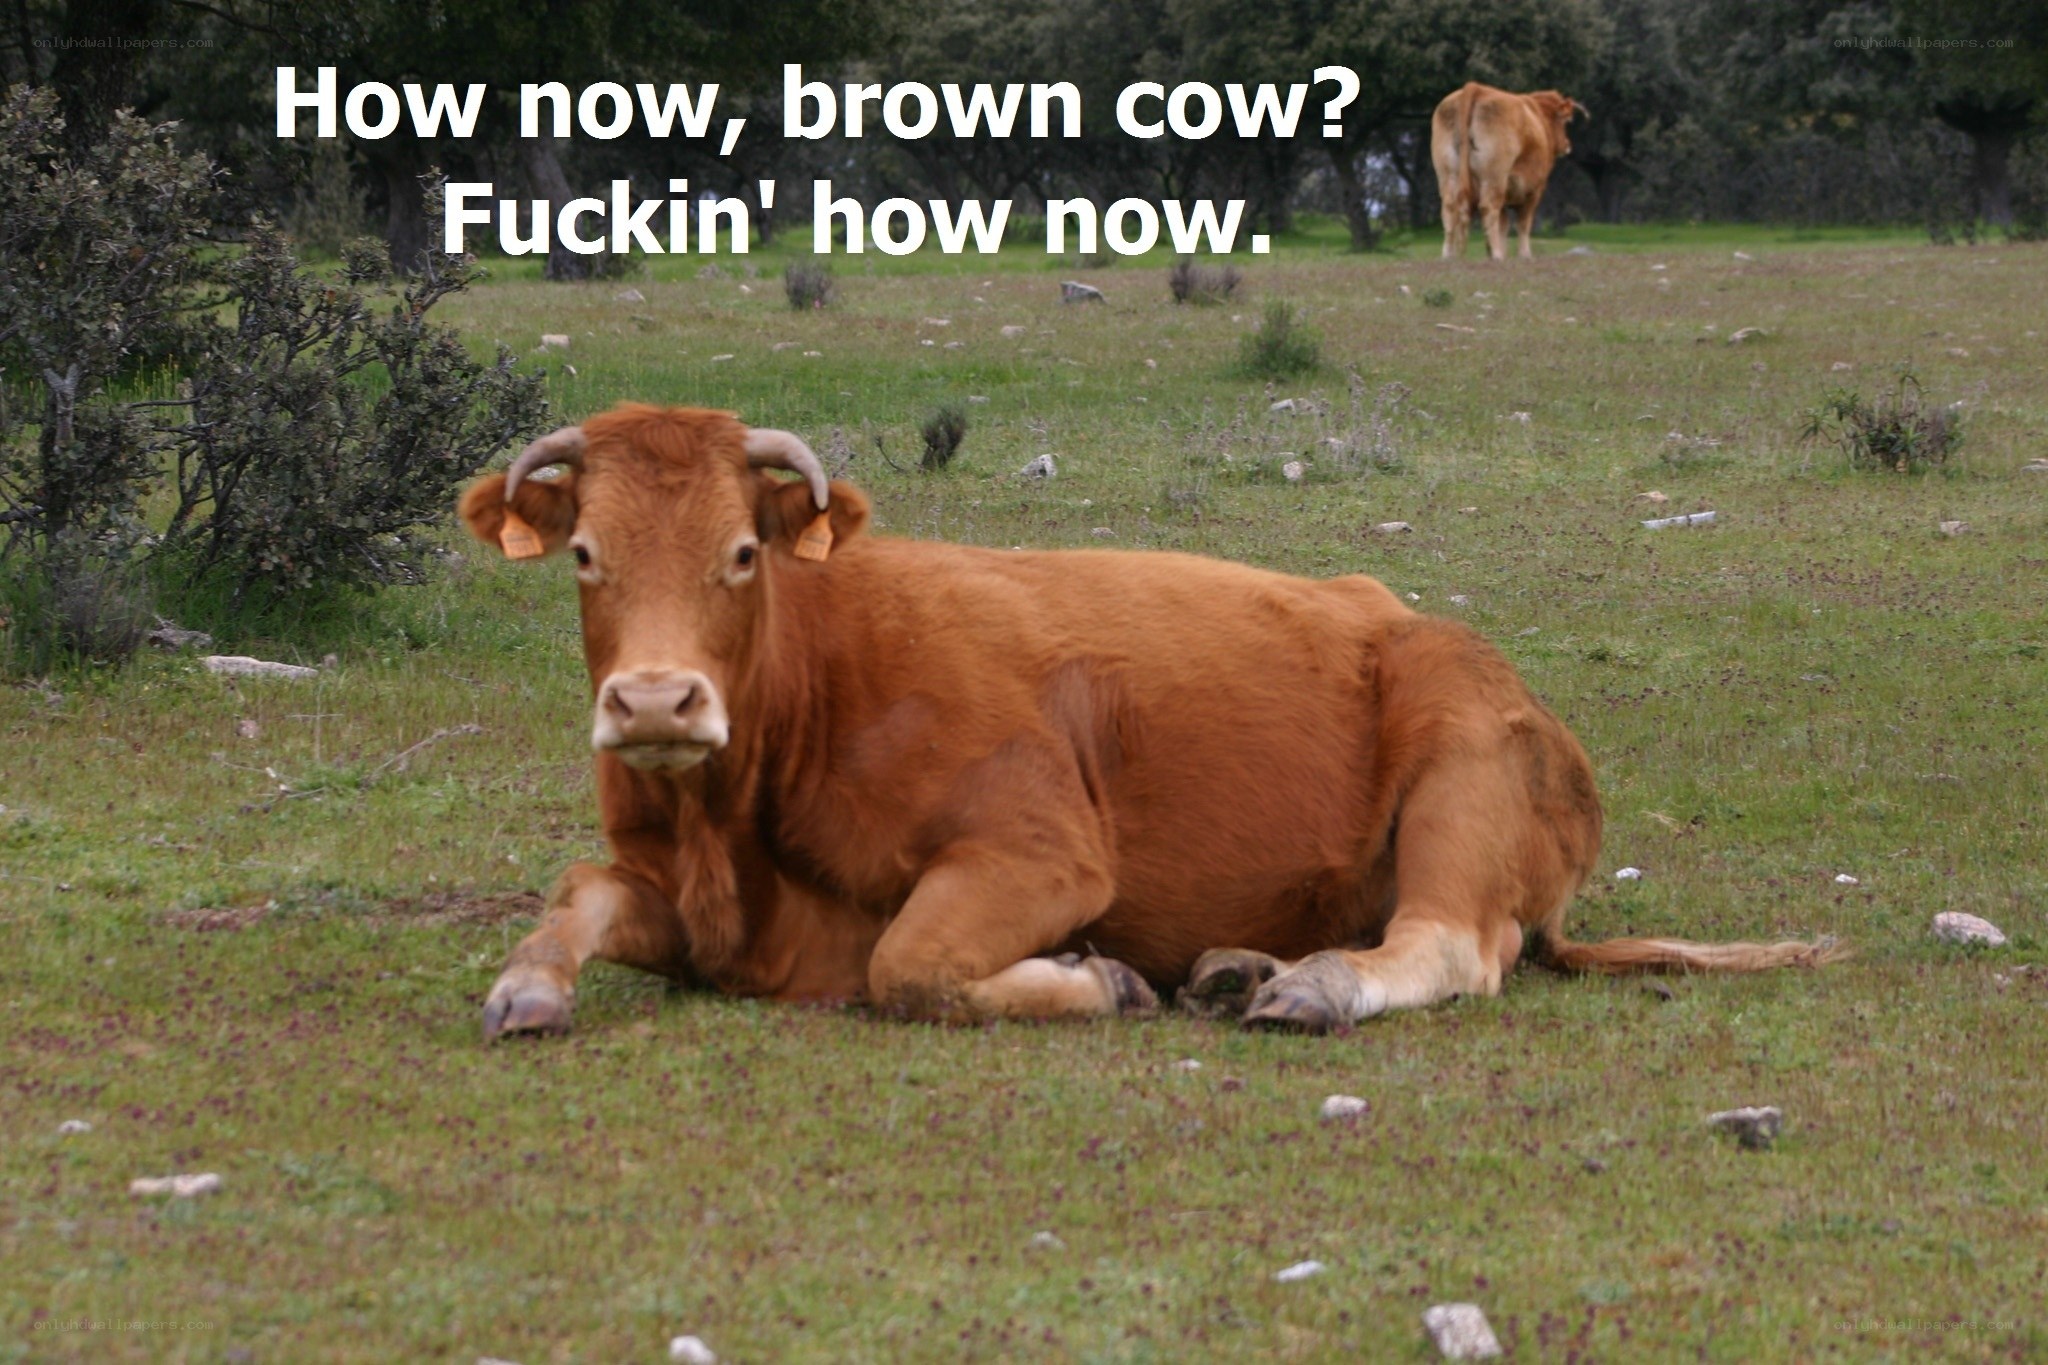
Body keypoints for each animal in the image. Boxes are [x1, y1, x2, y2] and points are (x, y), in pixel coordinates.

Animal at [459, 404, 1838, 1040]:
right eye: (582, 553)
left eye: (743, 554)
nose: (654, 700)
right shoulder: (683, 897)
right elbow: (578, 892)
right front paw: (526, 982)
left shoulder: (1040, 853)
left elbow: (910, 963)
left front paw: (1100, 977)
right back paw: (1240, 965)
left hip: (1461, 772)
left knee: (1448, 945)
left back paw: (1308, 985)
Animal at [1432, 82, 1586, 261]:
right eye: (1565, 120)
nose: (1567, 144)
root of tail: (1476, 88)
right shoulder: (1534, 191)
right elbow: (1523, 224)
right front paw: (1524, 255)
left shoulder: (1506, 201)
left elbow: (1503, 225)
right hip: (1494, 178)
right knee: (1489, 208)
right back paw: (1497, 255)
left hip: (1448, 175)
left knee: (1449, 210)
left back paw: (1448, 255)